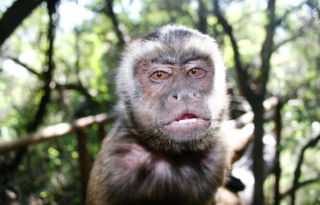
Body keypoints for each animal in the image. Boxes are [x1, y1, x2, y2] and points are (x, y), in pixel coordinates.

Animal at [85, 24, 230, 204]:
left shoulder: (218, 156)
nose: (185, 93)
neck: (174, 156)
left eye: (195, 72)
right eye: (159, 75)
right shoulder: (113, 165)